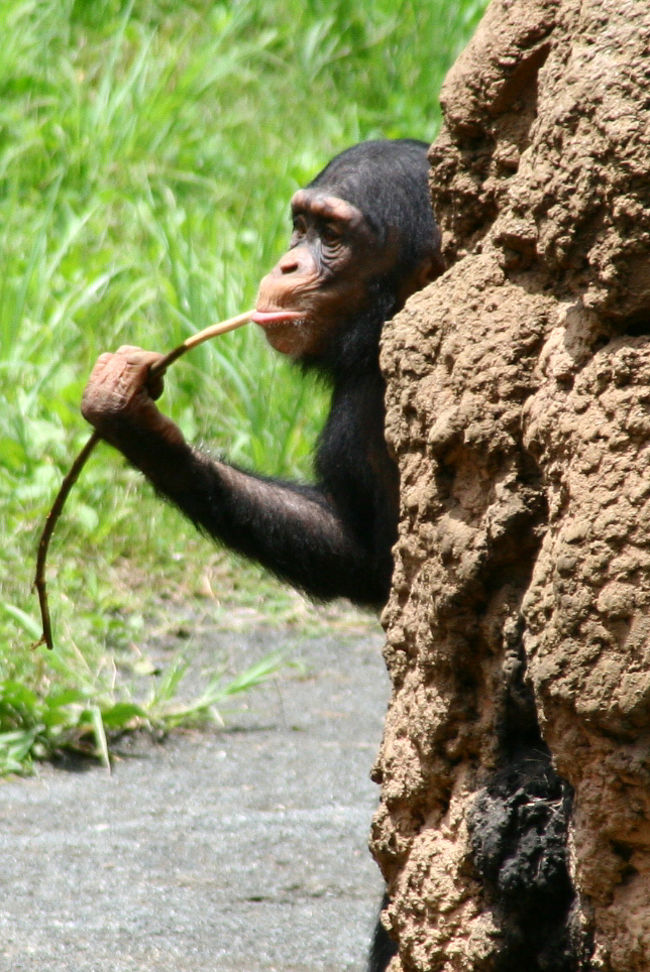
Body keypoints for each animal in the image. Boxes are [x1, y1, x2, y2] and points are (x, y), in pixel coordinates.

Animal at [81, 139, 442, 972]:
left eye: (333, 235)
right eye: (300, 223)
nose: (286, 263)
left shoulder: (378, 395)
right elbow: (367, 557)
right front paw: (137, 418)